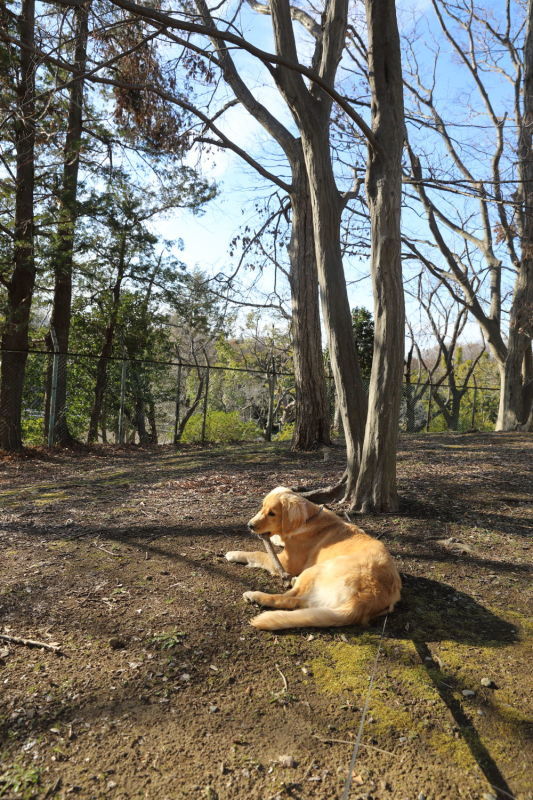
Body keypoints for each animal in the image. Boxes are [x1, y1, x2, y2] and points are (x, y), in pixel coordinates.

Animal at [223, 488, 400, 632]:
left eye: (272, 513)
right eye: (262, 508)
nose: (249, 525)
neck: (308, 519)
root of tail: (367, 599)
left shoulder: (286, 562)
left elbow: (258, 554)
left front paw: (234, 554)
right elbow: (279, 539)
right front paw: (275, 539)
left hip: (315, 569)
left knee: (286, 598)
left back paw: (255, 595)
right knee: (299, 601)